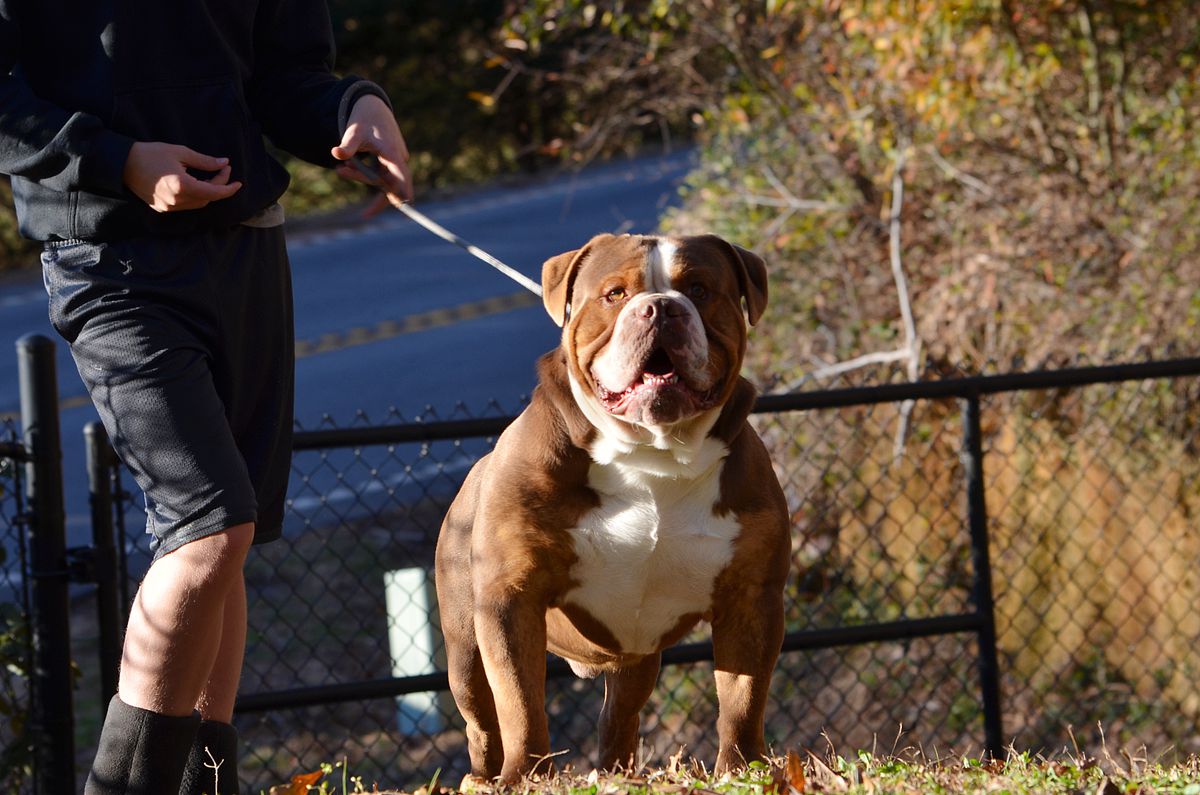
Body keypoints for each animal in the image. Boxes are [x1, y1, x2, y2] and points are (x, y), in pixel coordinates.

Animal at [436, 230, 792, 782]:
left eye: (699, 289)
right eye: (615, 294)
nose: (662, 307)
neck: (653, 452)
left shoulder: (752, 596)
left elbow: (743, 696)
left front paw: (743, 769)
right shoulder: (509, 599)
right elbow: (519, 701)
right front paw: (526, 777)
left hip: (636, 655)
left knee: (619, 715)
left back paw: (617, 774)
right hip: (465, 645)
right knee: (481, 718)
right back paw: (485, 778)